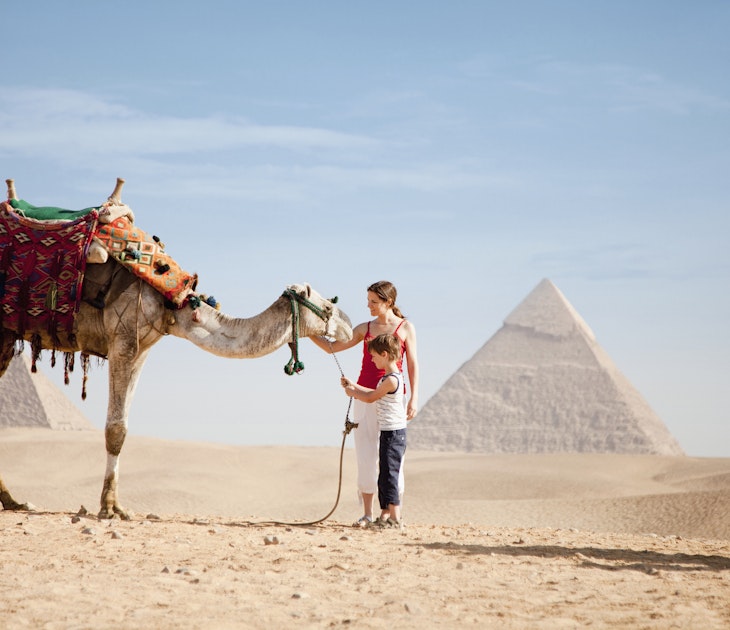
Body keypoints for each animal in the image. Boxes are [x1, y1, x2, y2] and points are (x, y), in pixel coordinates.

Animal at [0, 179, 352, 519]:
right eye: (326, 306)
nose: (349, 325)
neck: (175, 303)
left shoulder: (141, 349)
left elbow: (124, 426)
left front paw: (117, 505)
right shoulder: (123, 339)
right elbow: (116, 429)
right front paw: (109, 507)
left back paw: (15, 502)